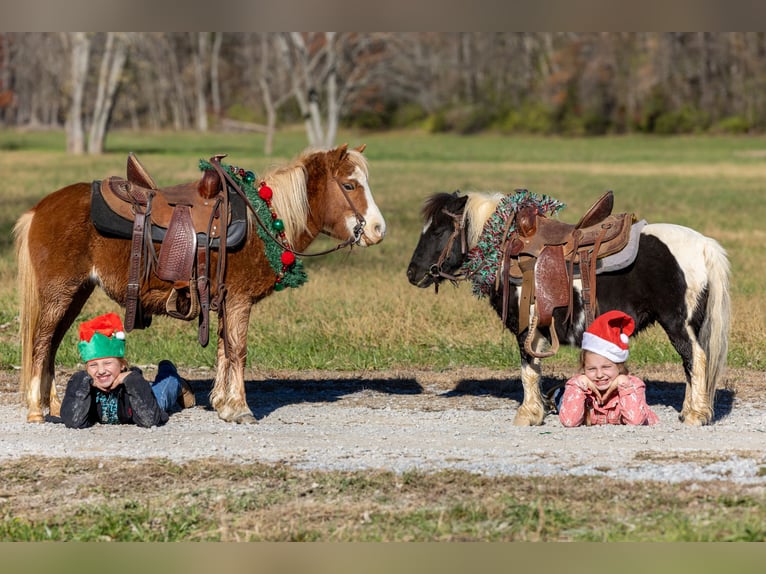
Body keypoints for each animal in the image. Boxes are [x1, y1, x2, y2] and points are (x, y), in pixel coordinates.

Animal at [14, 144, 386, 424]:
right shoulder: (239, 299)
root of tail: (39, 209)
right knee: (41, 342)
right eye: (350, 185)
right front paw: (239, 408)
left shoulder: (225, 300)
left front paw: (222, 401)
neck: (263, 219)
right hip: (59, 292)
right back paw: (36, 408)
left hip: (75, 293)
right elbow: (238, 349)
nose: (378, 229)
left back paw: (51, 404)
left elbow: (224, 347)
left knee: (51, 343)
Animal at [406, 190, 730, 426]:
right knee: (692, 364)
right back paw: (689, 409)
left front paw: (528, 414)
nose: (412, 273)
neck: (504, 249)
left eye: (438, 231)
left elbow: (528, 368)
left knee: (695, 359)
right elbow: (534, 368)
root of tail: (703, 244)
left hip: (677, 322)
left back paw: (696, 415)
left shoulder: (526, 327)